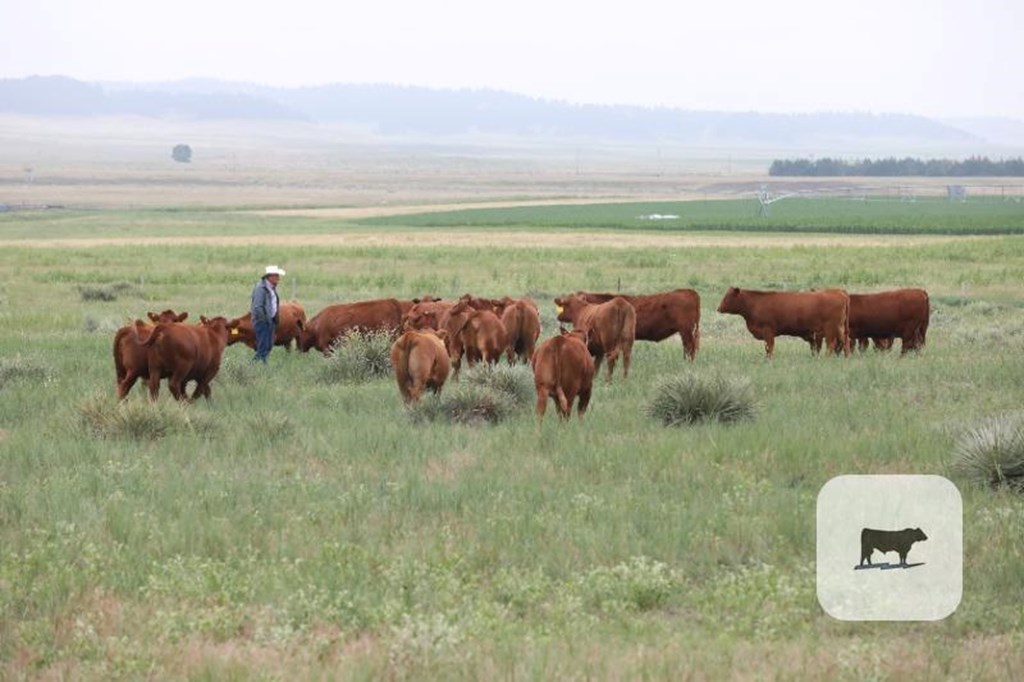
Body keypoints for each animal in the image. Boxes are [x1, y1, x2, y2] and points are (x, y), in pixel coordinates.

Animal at [716, 284, 851, 358]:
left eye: (728, 297)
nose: (719, 308)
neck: (755, 304)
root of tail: (839, 291)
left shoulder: (768, 331)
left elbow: (770, 347)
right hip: (839, 328)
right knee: (845, 342)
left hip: (830, 329)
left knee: (831, 344)